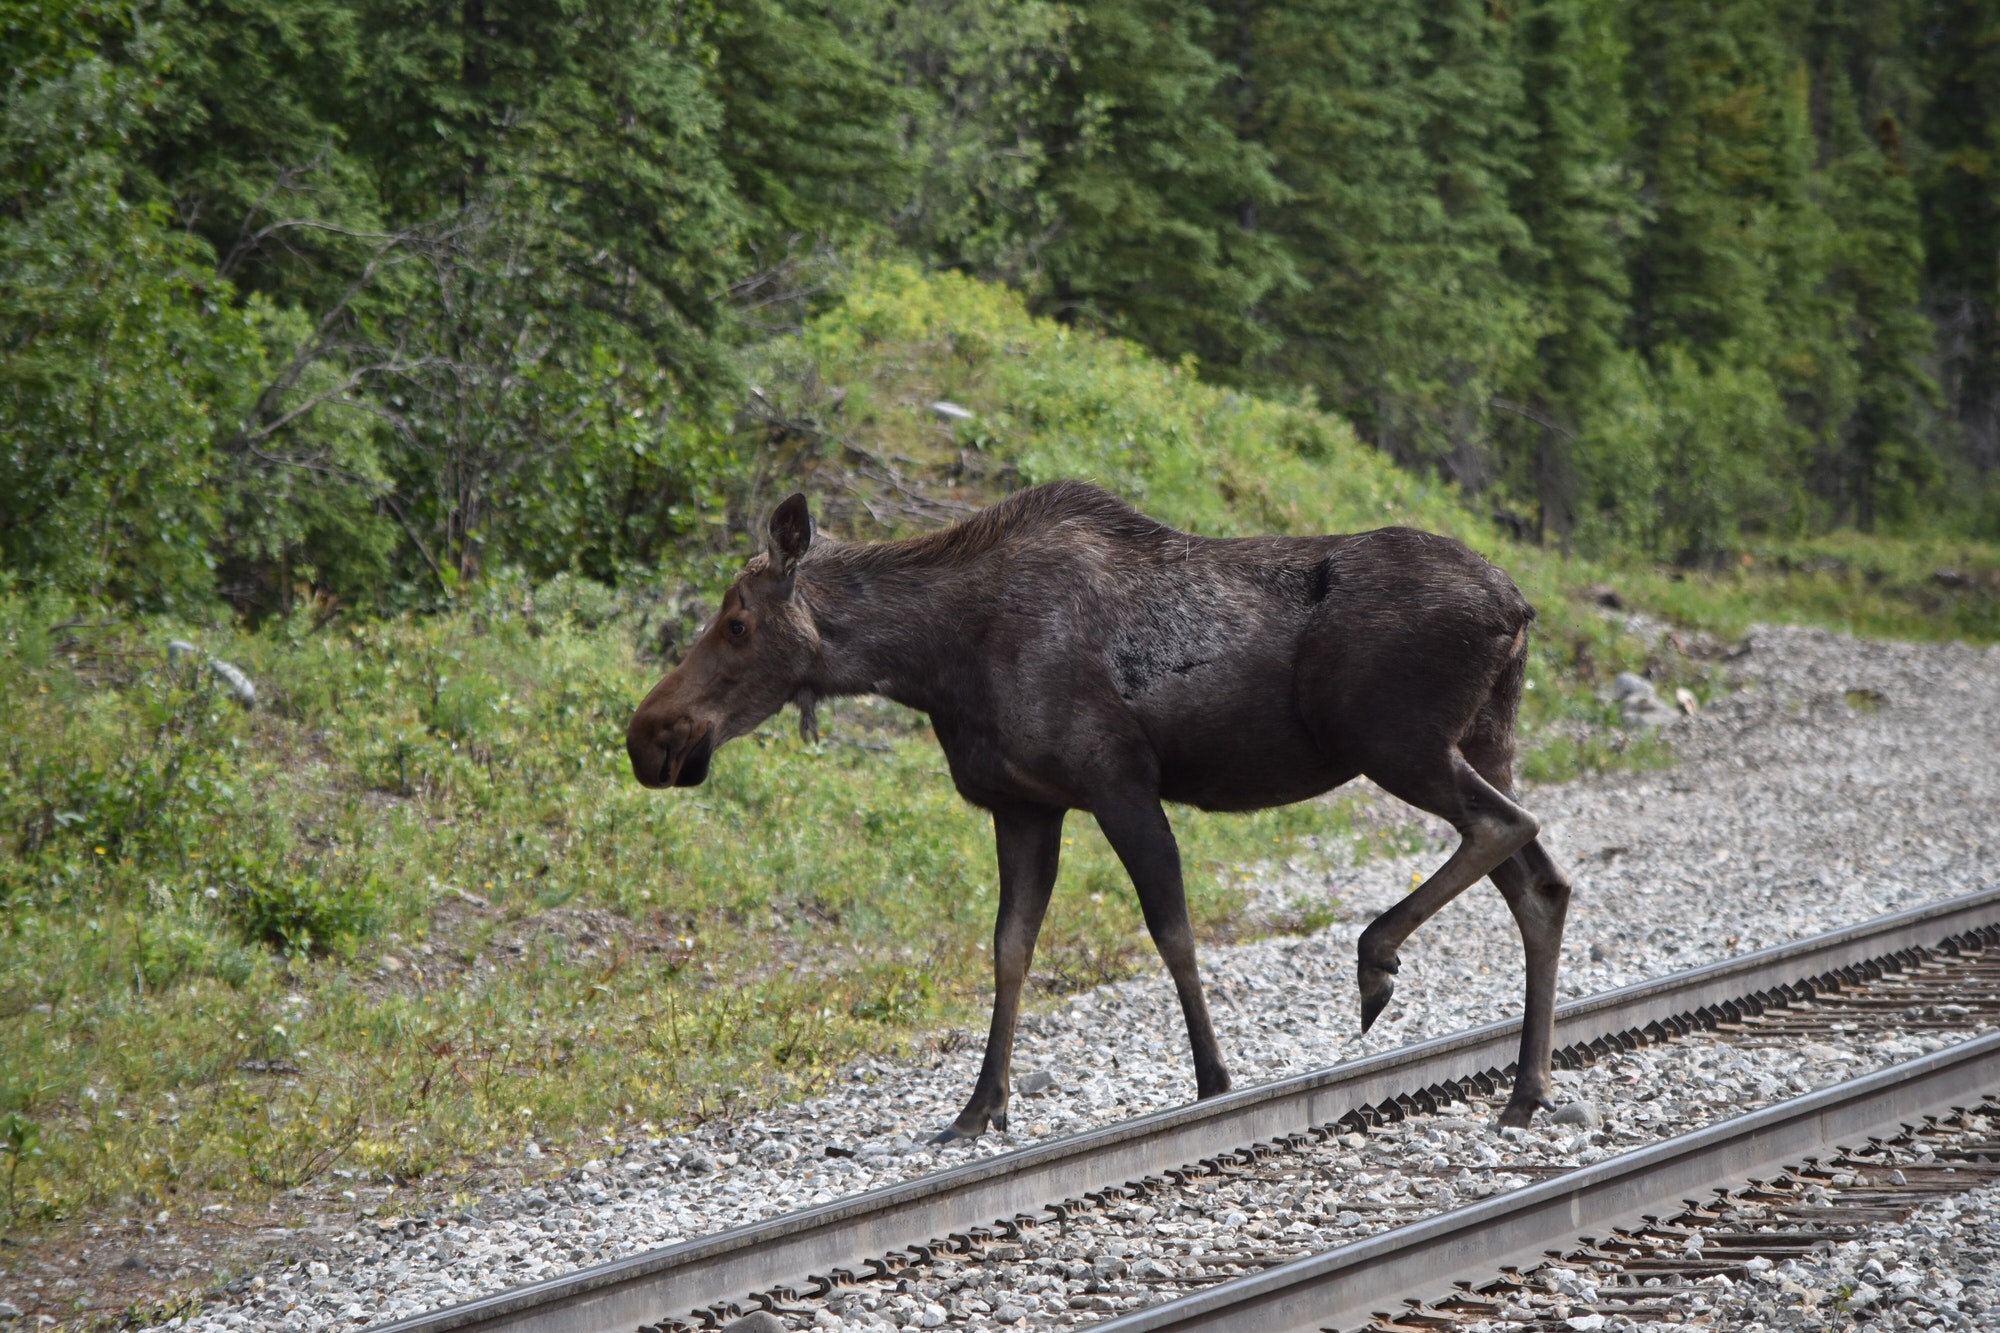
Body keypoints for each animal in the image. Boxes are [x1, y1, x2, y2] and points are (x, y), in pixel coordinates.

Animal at [628, 482, 1576, 1136]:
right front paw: (980, 1107)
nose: (649, 734)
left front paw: (1214, 1080)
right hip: (1481, 738)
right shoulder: (1023, 804)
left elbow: (1173, 929)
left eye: (738, 622)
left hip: (1397, 741)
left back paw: (1378, 961)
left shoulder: (1118, 780)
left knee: (1507, 828)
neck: (933, 661)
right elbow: (1010, 949)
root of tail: (1519, 605)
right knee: (1541, 882)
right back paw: (1526, 1089)